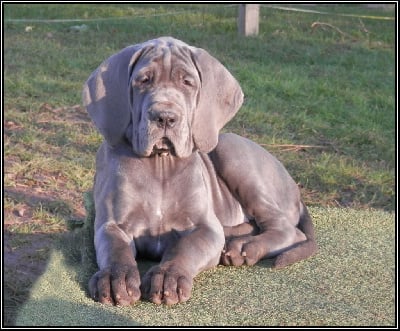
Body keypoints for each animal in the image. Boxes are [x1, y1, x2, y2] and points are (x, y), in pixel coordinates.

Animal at [83, 35, 318, 306]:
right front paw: (116, 278)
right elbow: (116, 249)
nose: (165, 117)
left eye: (187, 82)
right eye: (144, 80)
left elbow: (186, 247)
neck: (161, 164)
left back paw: (244, 248)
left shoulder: (204, 227)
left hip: (230, 151)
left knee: (288, 230)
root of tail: (296, 192)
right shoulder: (111, 224)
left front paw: (168, 277)